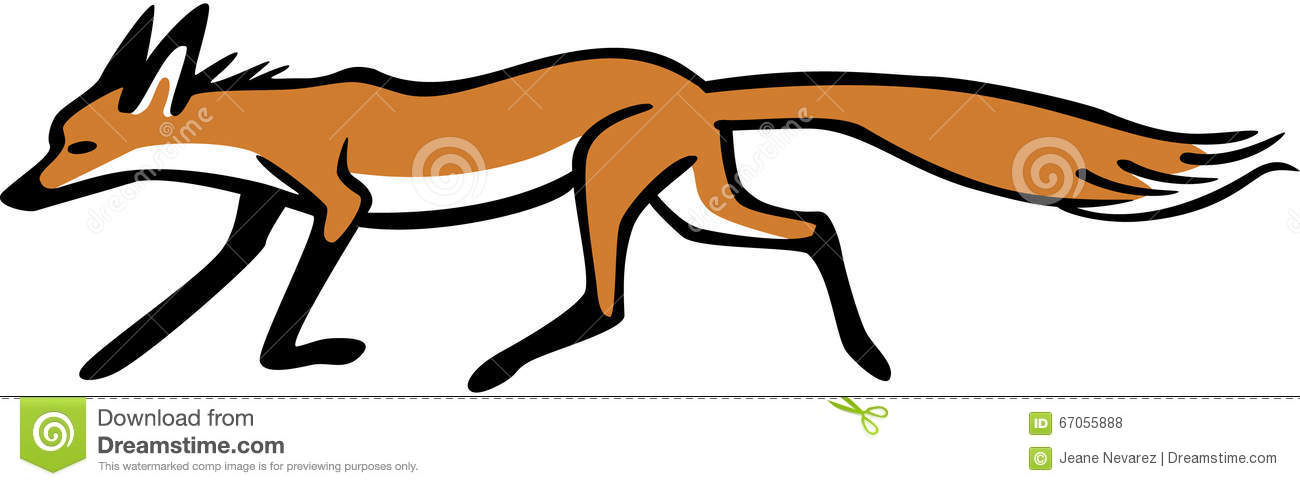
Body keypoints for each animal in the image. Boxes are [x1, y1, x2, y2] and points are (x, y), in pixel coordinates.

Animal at [2, 5, 1291, 392]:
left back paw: (496, 368)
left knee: (615, 304)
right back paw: (865, 355)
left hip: (607, 184)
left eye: (75, 140)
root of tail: (697, 82)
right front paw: (109, 361)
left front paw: (315, 356)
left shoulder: (335, 206)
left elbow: (277, 325)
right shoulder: (259, 213)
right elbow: (195, 294)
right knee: (814, 227)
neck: (268, 132)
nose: (14, 195)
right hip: (688, 205)